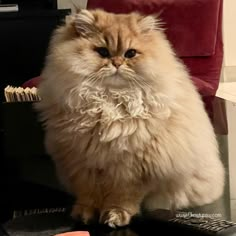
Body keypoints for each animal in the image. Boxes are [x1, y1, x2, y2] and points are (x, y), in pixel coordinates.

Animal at [35, 8, 225, 228]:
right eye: (103, 52)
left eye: (130, 54)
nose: (117, 63)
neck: (109, 102)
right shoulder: (82, 164)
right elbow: (88, 195)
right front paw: (84, 215)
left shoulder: (131, 170)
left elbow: (123, 198)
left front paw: (115, 216)